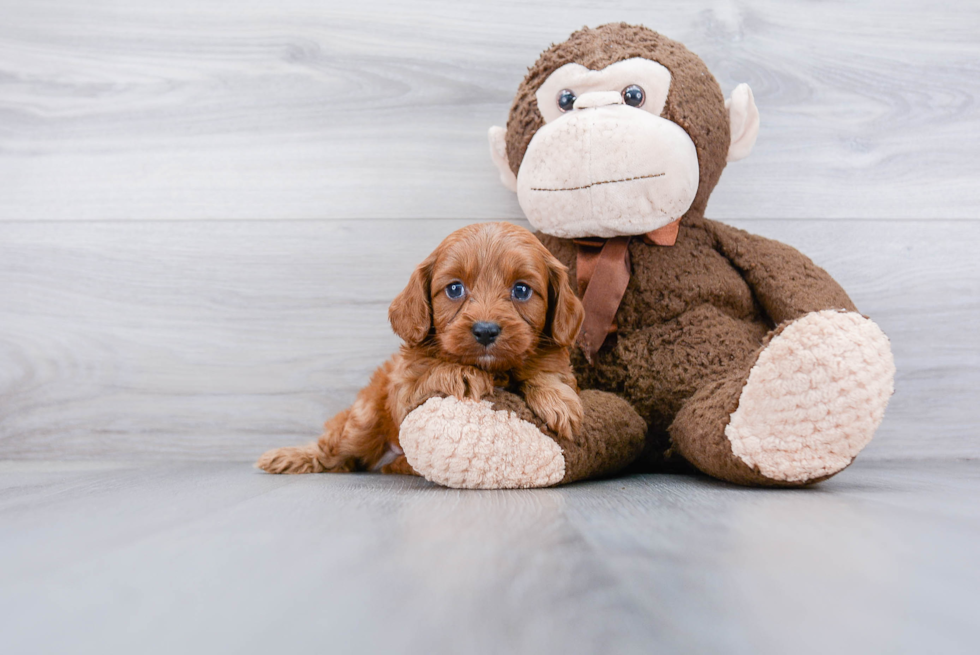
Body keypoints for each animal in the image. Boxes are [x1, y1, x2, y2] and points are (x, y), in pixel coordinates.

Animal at [256, 223, 584, 474]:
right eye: (454, 289)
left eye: (522, 290)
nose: (485, 330)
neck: (494, 369)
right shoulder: (403, 390)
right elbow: (430, 373)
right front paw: (460, 373)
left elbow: (548, 374)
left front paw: (557, 399)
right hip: (364, 420)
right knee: (331, 451)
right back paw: (288, 456)